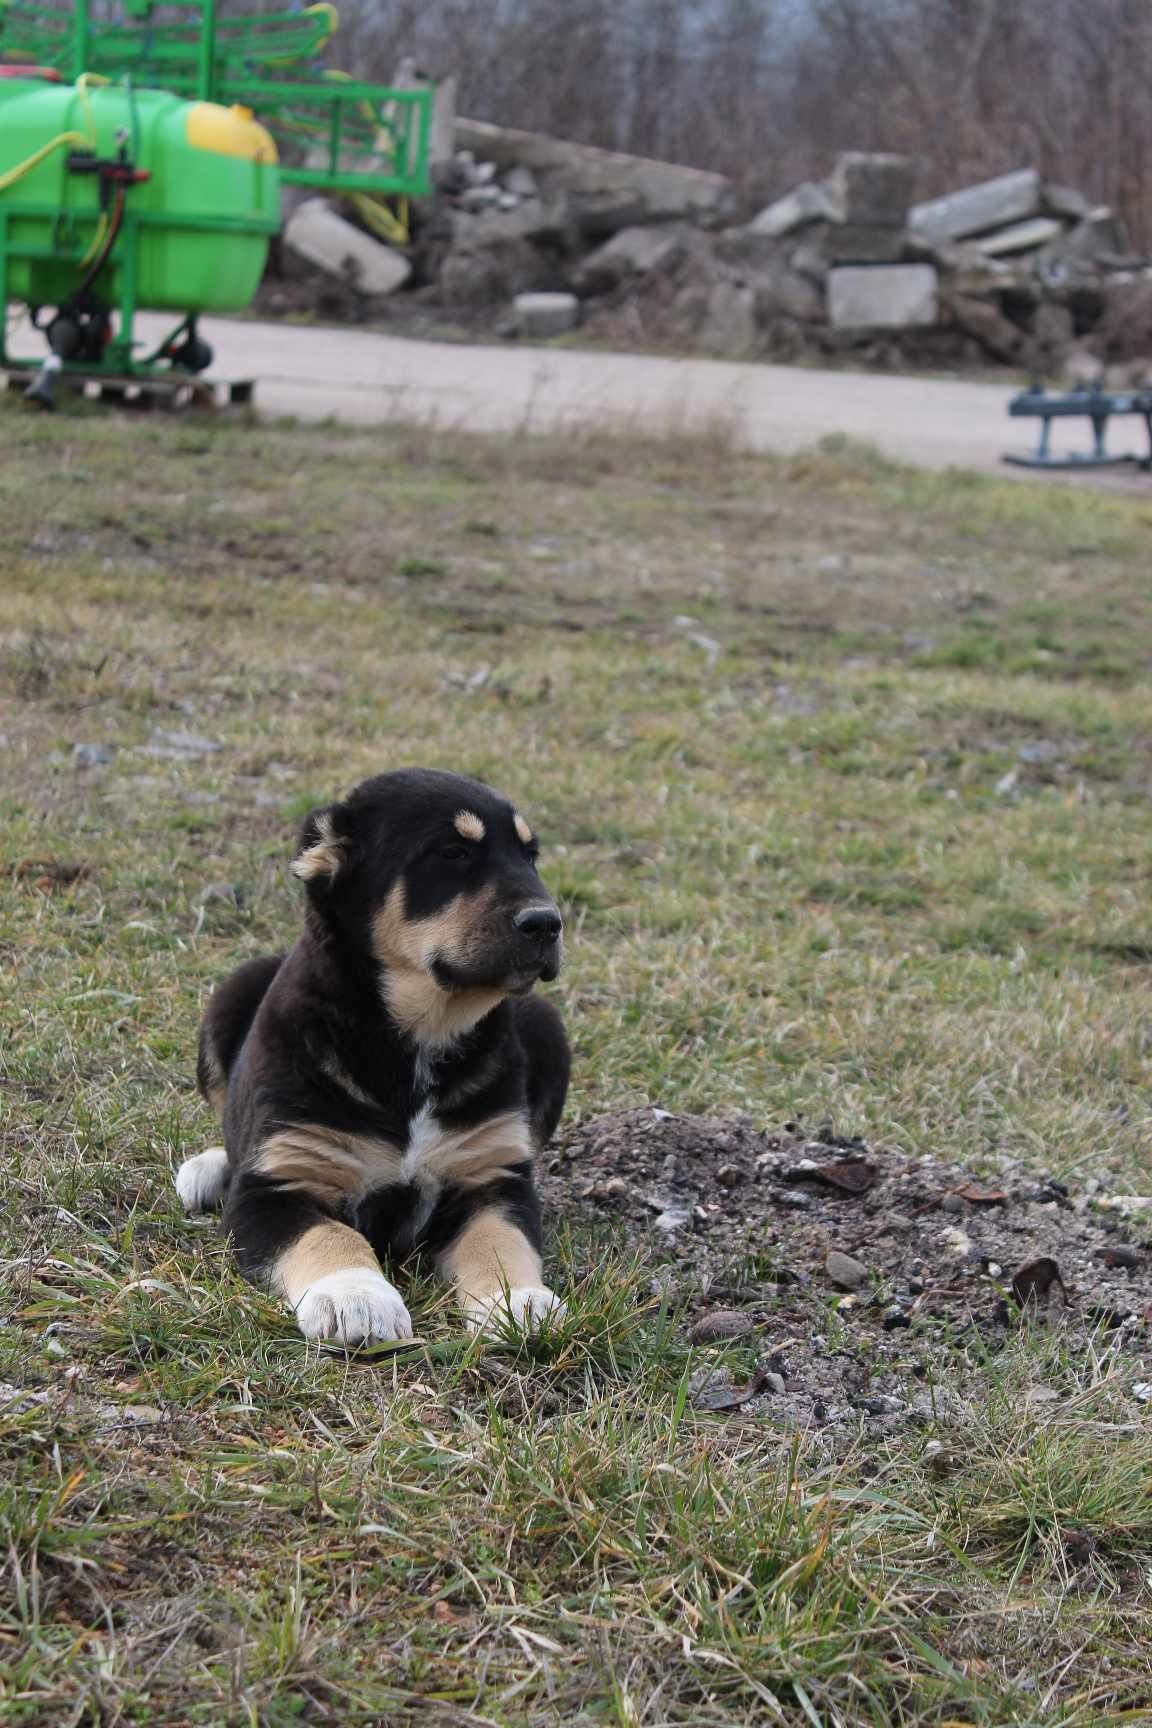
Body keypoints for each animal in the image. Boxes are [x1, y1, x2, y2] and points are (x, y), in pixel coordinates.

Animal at [177, 770, 573, 1347]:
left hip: (548, 1026)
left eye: (531, 855)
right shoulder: (273, 1190)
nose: (547, 923)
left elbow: (500, 1241)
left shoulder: (493, 1178)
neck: (417, 1038)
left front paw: (518, 1300)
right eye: (451, 852)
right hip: (233, 992)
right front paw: (355, 1297)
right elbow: (327, 1234)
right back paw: (209, 1168)